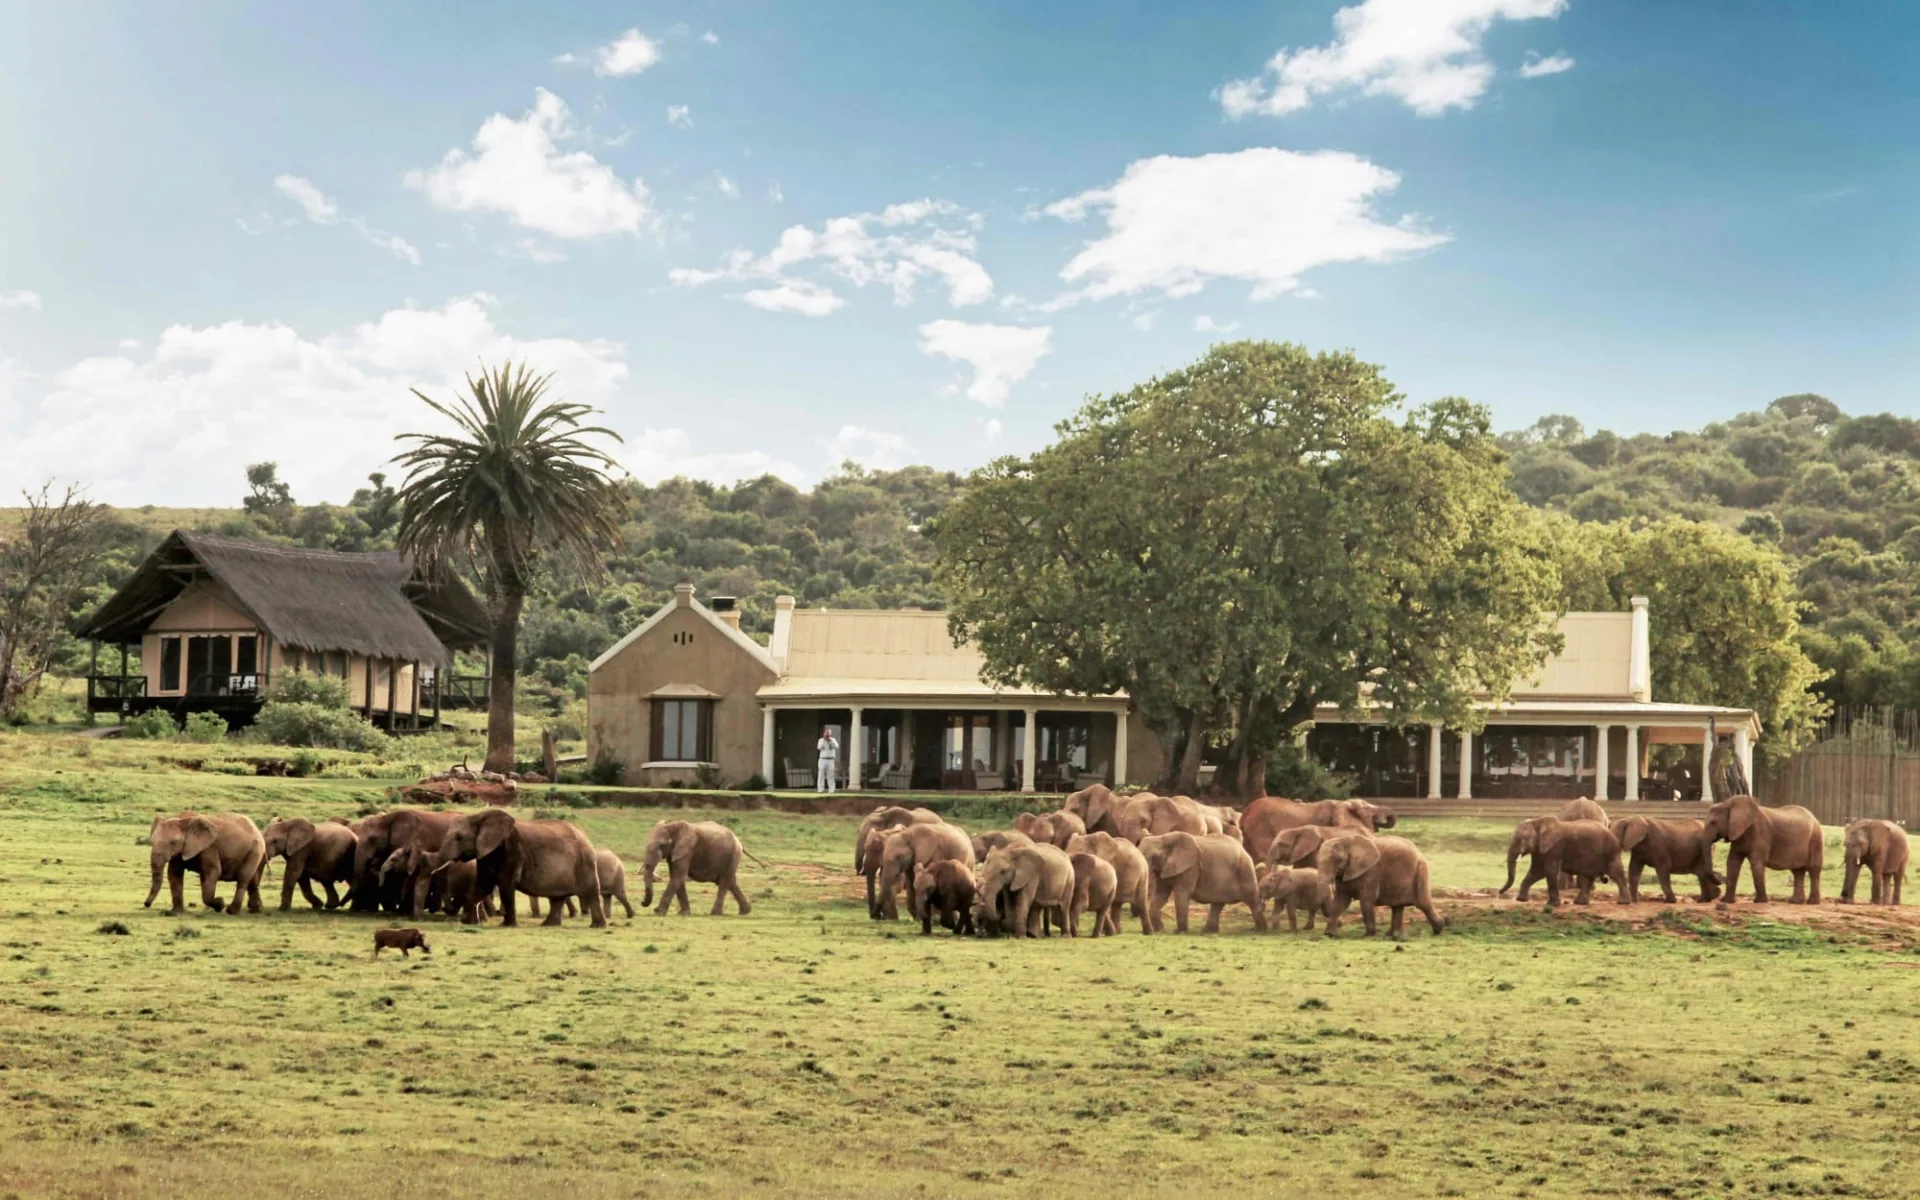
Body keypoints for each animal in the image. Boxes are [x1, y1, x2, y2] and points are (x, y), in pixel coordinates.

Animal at [432, 806, 602, 925]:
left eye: (459, 837)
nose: (445, 909)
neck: (480, 816)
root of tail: (586, 836)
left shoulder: (511, 849)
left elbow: (505, 884)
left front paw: (507, 925)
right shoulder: (487, 852)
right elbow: (483, 884)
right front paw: (469, 922)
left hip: (584, 861)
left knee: (591, 893)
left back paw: (597, 926)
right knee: (557, 897)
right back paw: (548, 925)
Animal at [1128, 829, 1267, 933]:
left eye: (1153, 857)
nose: (1134, 913)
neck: (1163, 837)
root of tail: (1244, 850)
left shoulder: (1191, 867)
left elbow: (1181, 894)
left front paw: (1179, 932)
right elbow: (1160, 895)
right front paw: (1160, 930)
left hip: (1244, 869)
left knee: (1252, 899)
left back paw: (1260, 930)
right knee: (1218, 903)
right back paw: (1208, 932)